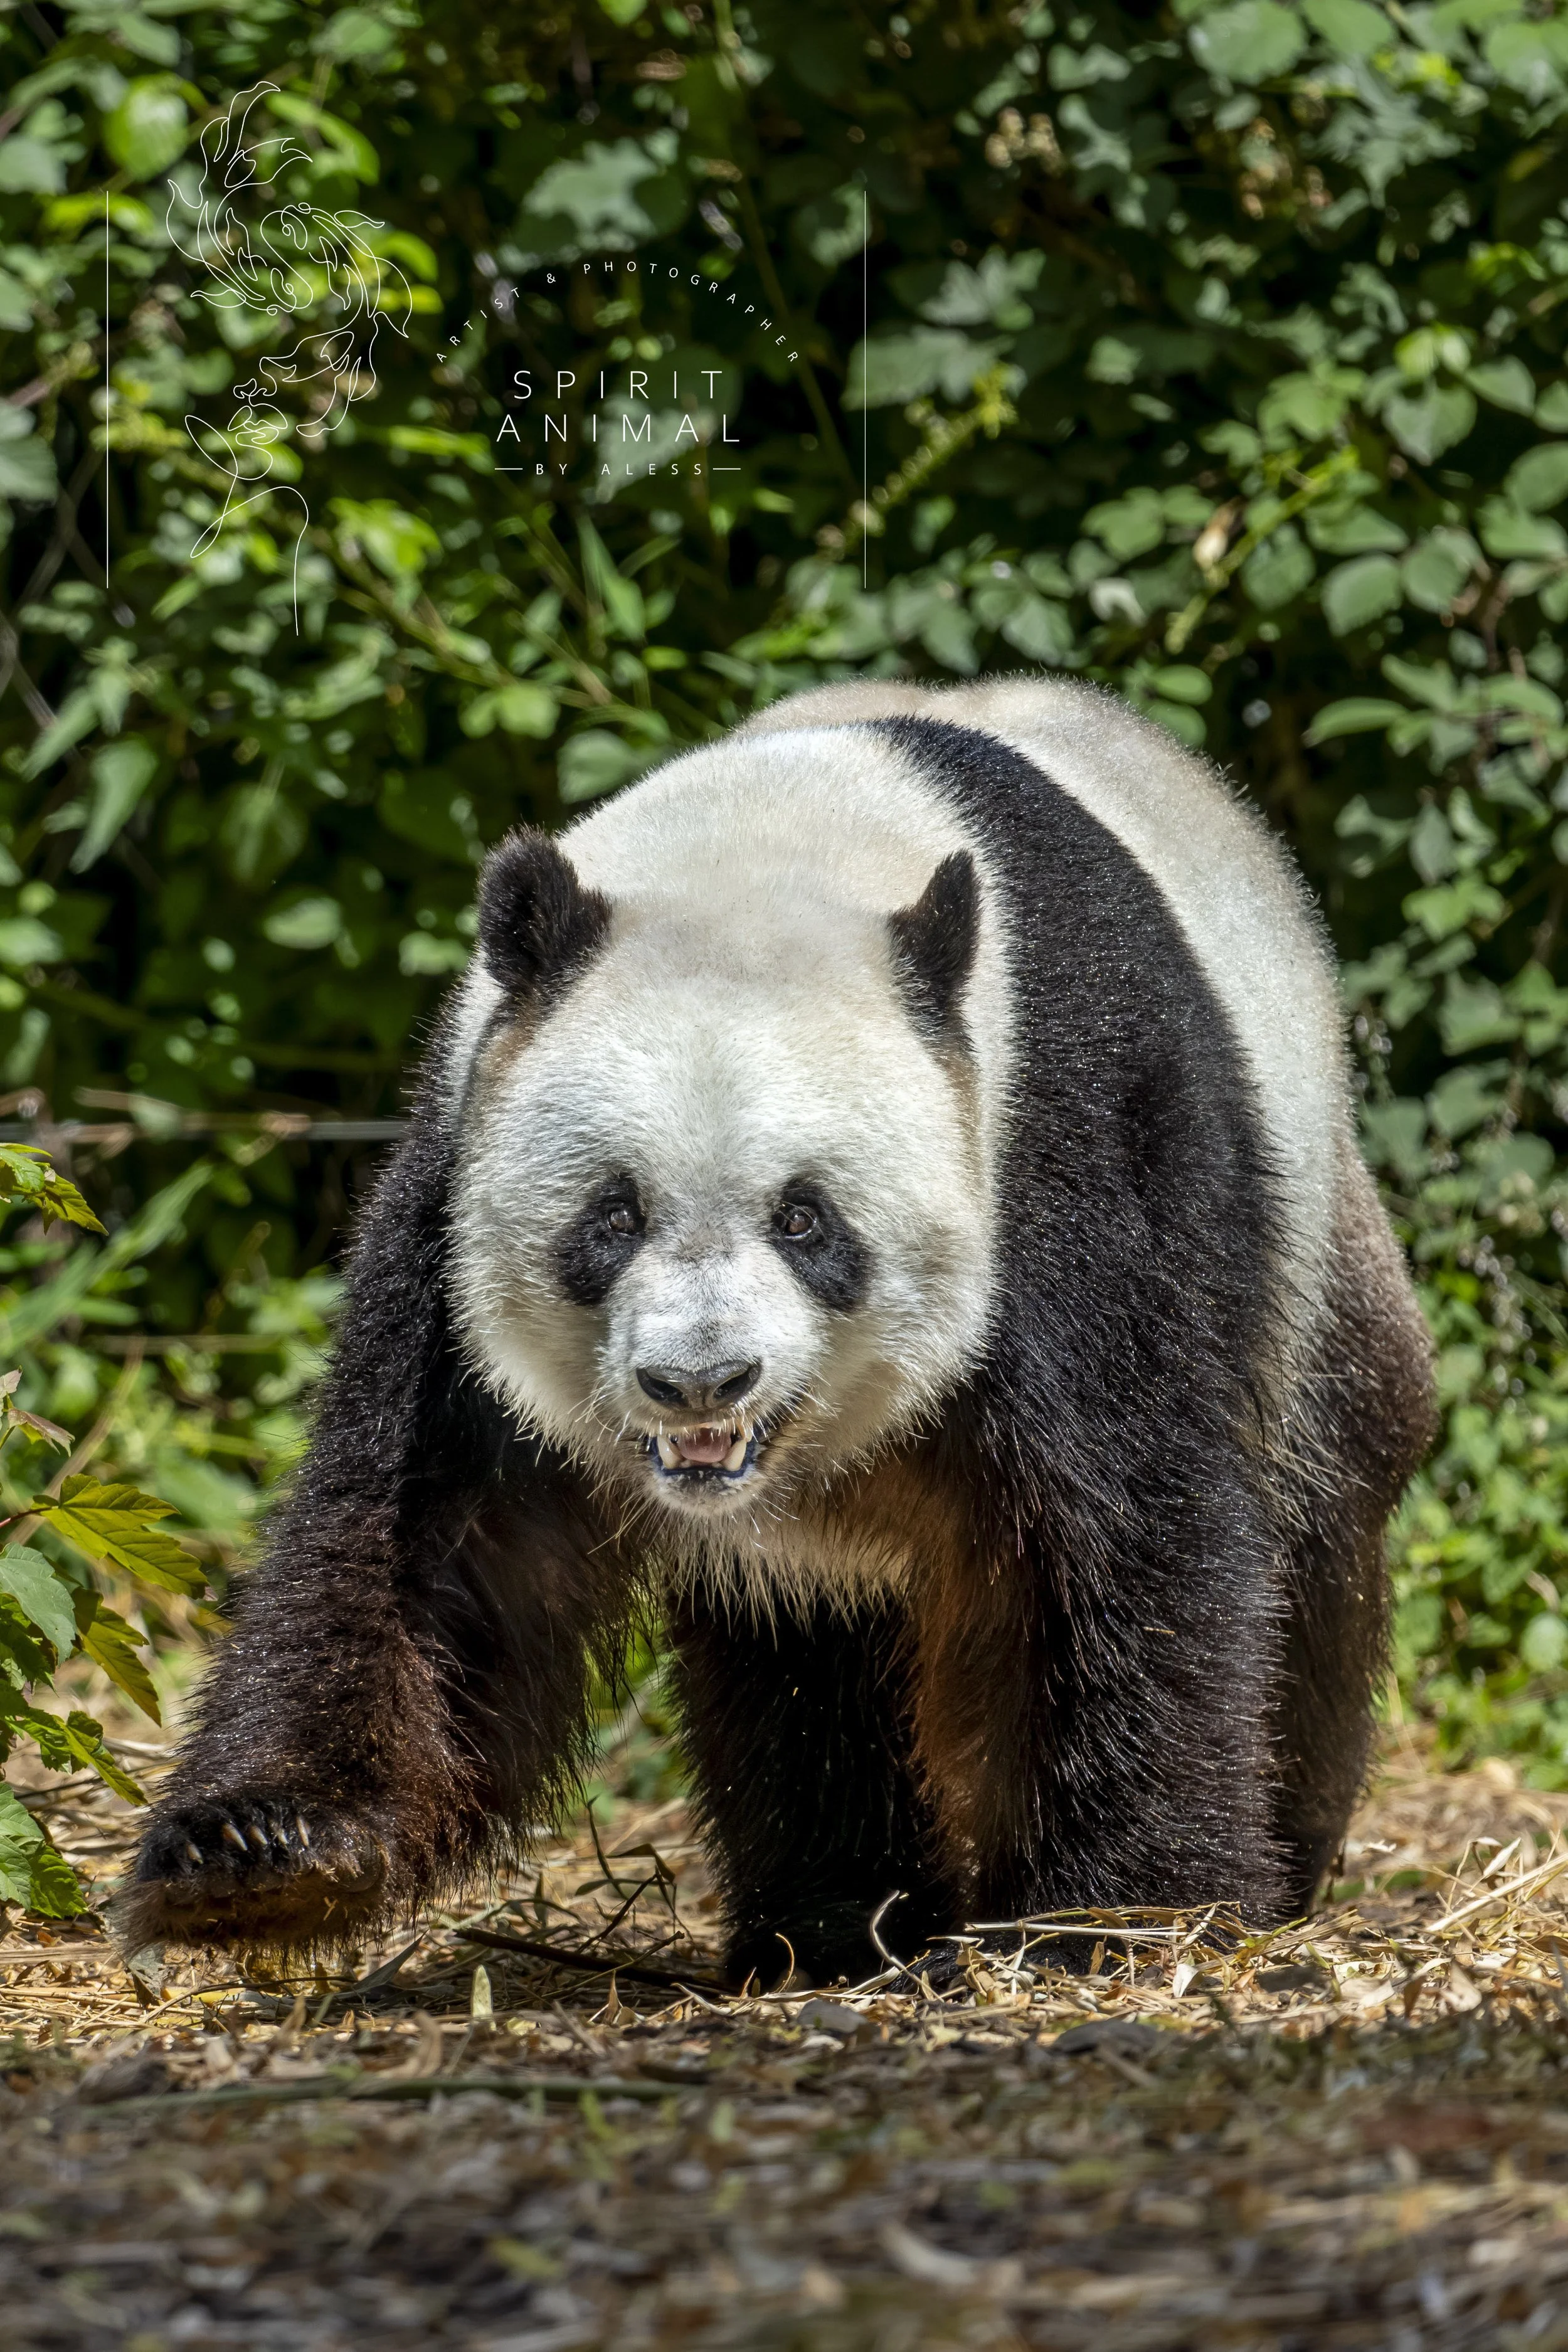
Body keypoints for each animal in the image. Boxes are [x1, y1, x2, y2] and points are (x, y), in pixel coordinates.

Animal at [122, 677, 1434, 1985]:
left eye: (804, 1219)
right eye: (613, 1215)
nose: (701, 1380)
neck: (775, 850)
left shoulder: (1064, 1142)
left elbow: (1124, 1522)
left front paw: (1115, 1914)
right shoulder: (454, 1180)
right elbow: (430, 1543)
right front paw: (259, 1857)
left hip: (1314, 1258)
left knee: (1320, 1515)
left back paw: (1276, 1852)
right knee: (806, 1662)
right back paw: (833, 1925)